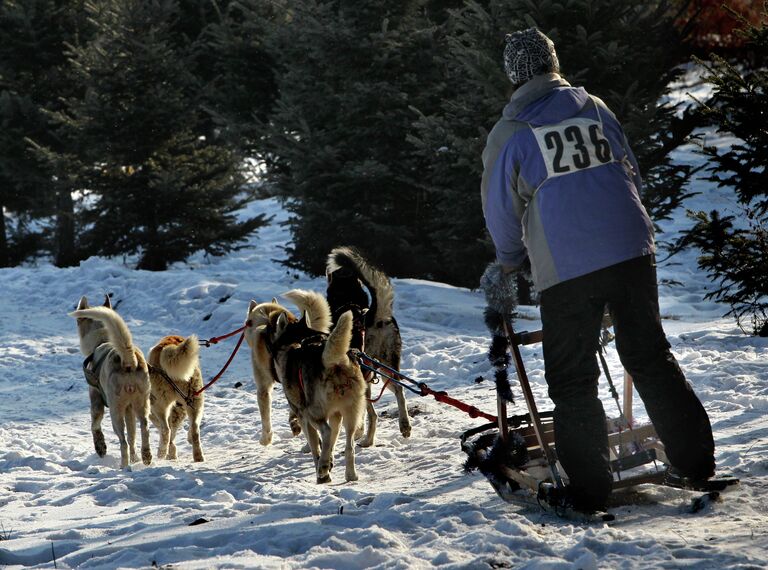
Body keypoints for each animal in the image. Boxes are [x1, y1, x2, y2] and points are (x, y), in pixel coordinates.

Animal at [70, 296, 152, 468]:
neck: (102, 341)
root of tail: (128, 360)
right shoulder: (129, 409)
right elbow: (132, 435)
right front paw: (135, 459)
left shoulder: (95, 399)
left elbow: (95, 425)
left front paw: (100, 447)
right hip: (141, 404)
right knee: (143, 428)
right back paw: (145, 456)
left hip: (116, 411)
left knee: (123, 441)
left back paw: (124, 466)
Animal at [148, 332, 206, 462]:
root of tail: (170, 345)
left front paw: (169, 453)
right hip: (195, 398)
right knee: (195, 429)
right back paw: (198, 456)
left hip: (159, 403)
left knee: (166, 430)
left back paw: (161, 453)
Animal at [264, 290, 366, 482]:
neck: (297, 340)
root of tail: (334, 362)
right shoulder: (336, 415)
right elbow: (332, 442)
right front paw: (330, 461)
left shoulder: (303, 416)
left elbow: (315, 446)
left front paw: (323, 466)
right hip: (351, 413)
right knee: (349, 446)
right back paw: (350, 475)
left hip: (313, 412)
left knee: (325, 432)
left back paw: (323, 469)